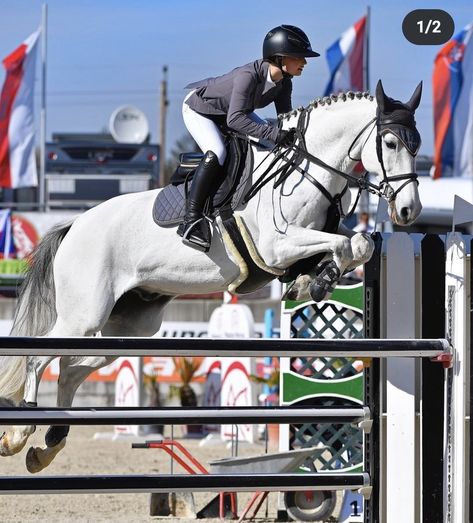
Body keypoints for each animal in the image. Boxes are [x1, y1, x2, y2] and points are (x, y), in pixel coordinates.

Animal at [0, 80, 420, 472]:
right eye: (390, 142)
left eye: (416, 146)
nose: (408, 211)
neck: (307, 171)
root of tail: (74, 225)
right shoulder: (277, 245)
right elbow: (347, 244)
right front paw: (315, 281)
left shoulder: (304, 244)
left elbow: (358, 244)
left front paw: (314, 279)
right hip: (84, 316)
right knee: (38, 358)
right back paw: (20, 434)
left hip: (126, 328)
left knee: (70, 371)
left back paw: (48, 446)